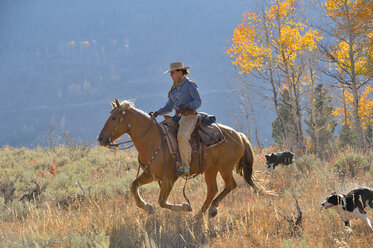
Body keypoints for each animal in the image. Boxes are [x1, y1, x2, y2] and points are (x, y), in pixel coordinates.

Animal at [96, 98, 268, 218]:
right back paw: (201, 214)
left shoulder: (169, 178)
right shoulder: (151, 175)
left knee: (230, 185)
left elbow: (162, 201)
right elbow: (133, 186)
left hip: (225, 168)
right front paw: (147, 207)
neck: (154, 141)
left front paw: (185, 206)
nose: (101, 139)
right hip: (210, 169)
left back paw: (210, 210)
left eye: (114, 118)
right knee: (213, 189)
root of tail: (239, 135)